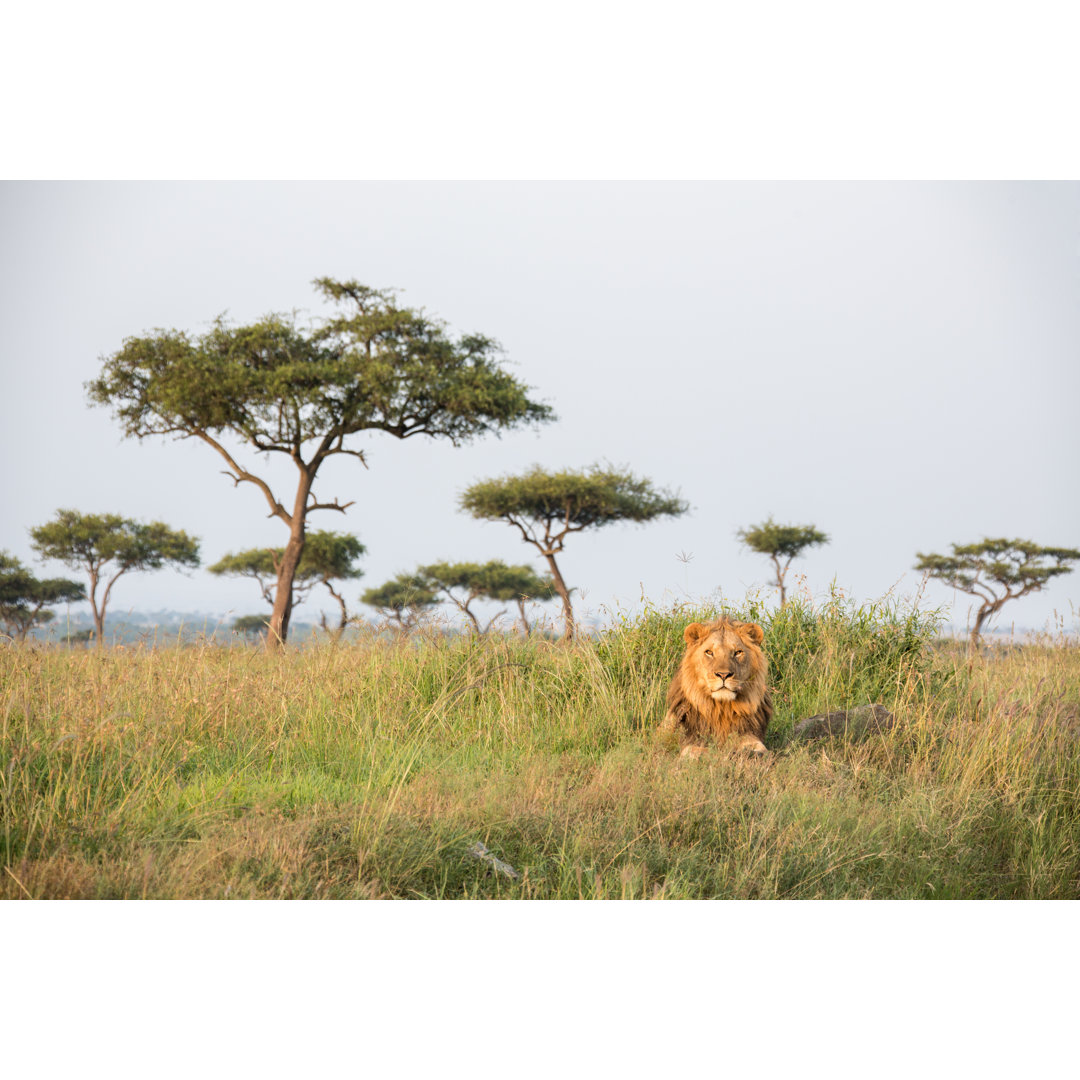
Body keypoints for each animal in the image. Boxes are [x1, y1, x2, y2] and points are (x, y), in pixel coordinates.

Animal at [652, 617, 773, 760]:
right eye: (709, 652)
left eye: (738, 652)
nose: (723, 675)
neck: (722, 709)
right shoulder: (689, 742)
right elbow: (700, 752)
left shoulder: (749, 734)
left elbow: (761, 749)